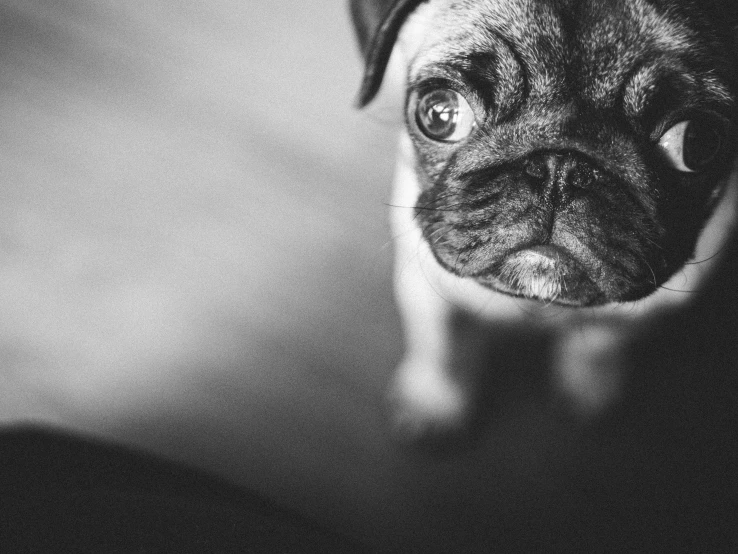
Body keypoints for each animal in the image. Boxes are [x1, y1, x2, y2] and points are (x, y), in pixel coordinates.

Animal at [350, 0, 736, 440]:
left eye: (697, 144)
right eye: (439, 113)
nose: (560, 168)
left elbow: (600, 346)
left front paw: (587, 385)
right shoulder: (426, 287)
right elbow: (443, 345)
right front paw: (434, 400)